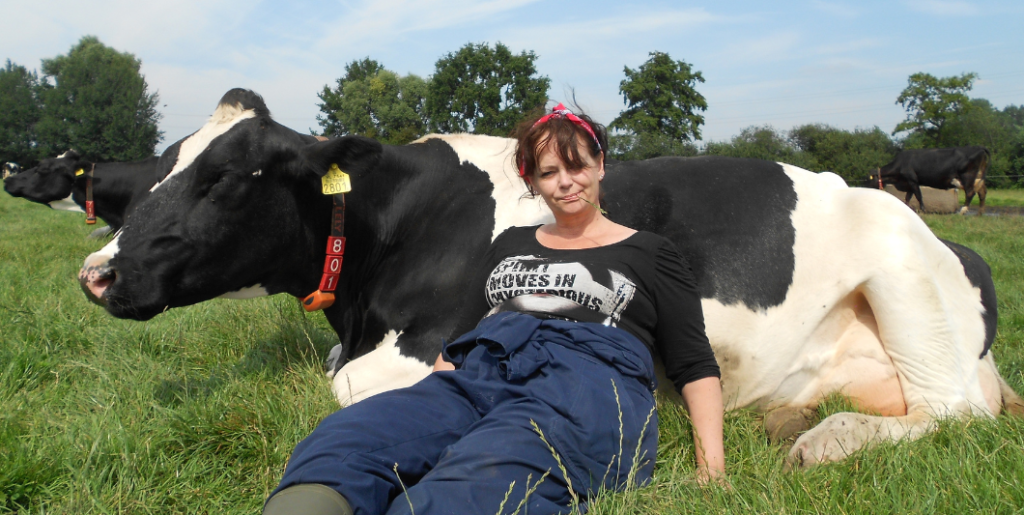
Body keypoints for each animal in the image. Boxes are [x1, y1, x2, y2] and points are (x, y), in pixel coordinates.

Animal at [79, 88, 1024, 466]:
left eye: (226, 177)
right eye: (164, 163)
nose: (97, 271)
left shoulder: (418, 347)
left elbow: (341, 390)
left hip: (901, 276)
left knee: (956, 410)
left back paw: (824, 439)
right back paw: (795, 415)